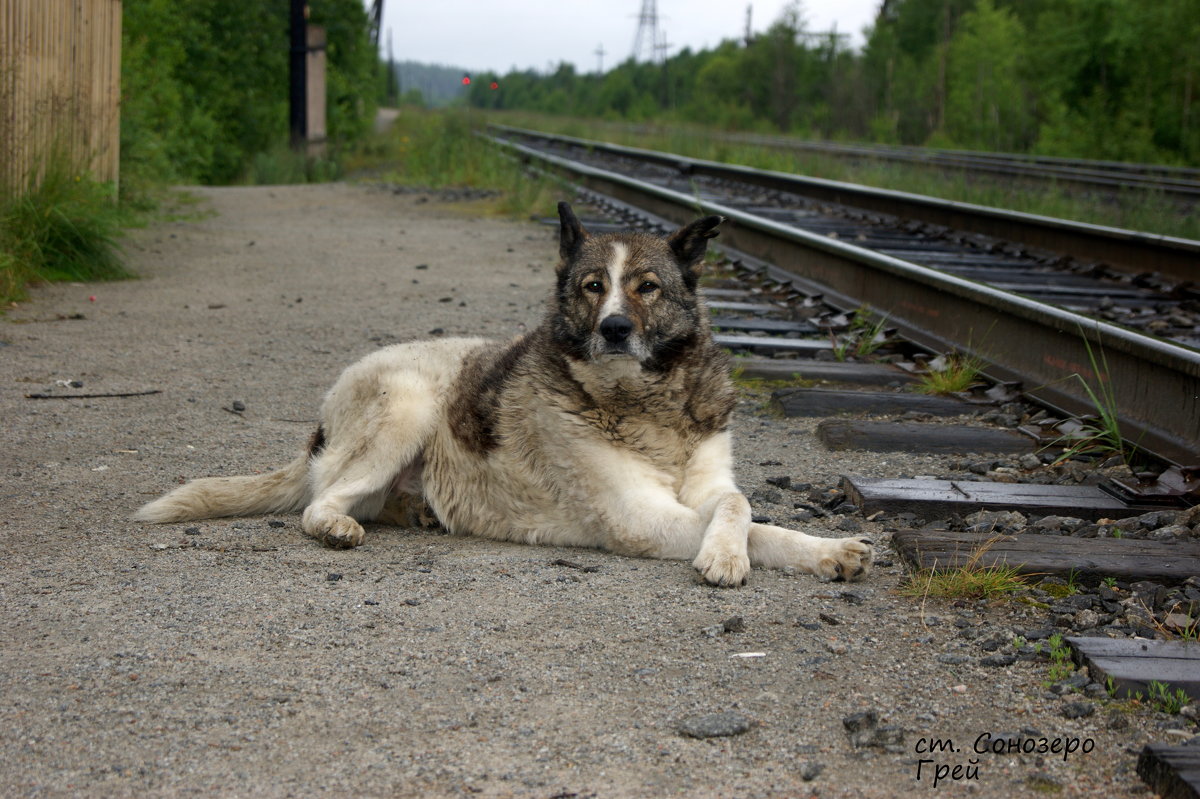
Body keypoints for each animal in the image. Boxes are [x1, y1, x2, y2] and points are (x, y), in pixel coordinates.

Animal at [138, 202, 873, 583]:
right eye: (592, 286)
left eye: (647, 287)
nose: (613, 328)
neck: (644, 402)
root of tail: (322, 420)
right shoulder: (638, 518)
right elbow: (749, 522)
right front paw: (725, 557)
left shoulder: (708, 483)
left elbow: (742, 505)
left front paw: (824, 550)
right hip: (405, 408)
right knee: (320, 502)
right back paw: (341, 525)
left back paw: (418, 511)